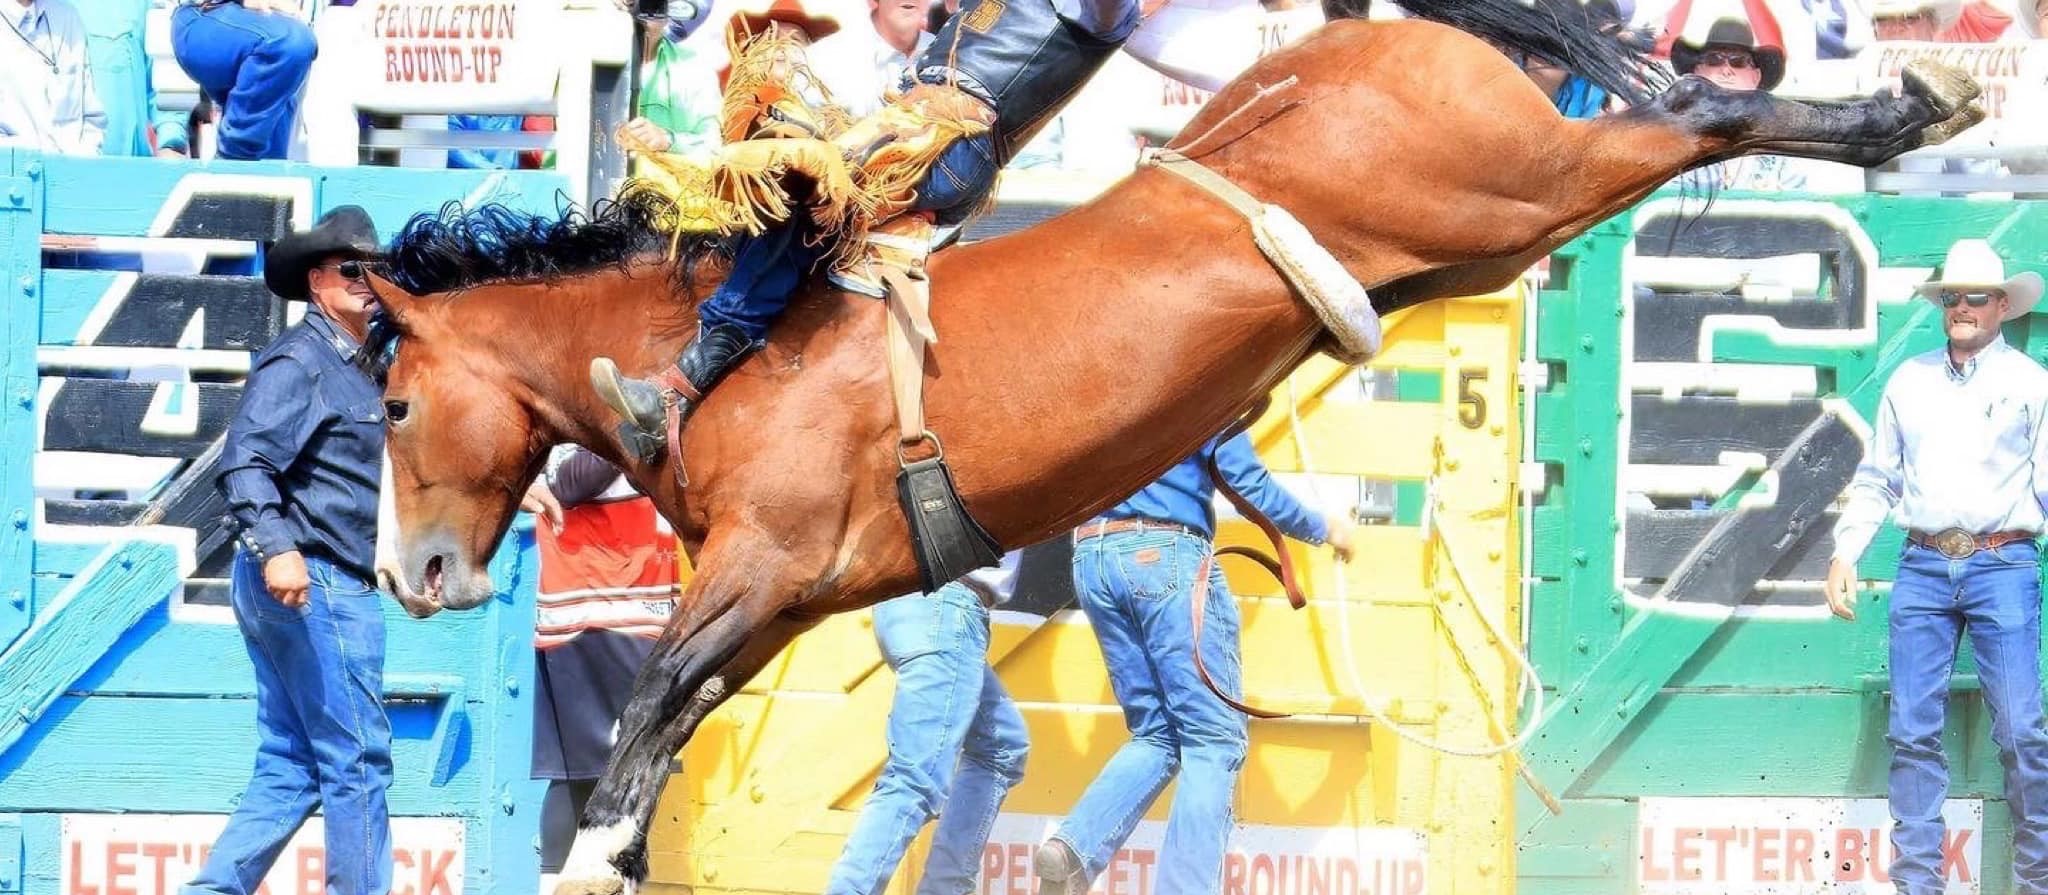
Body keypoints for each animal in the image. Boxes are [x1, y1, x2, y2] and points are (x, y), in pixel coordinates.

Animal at [360, 5, 1974, 884]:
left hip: (1518, 179)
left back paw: (1903, 106)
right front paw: (612, 848)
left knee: (1693, 105)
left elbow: (645, 709)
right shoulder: (780, 601)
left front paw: (586, 854)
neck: (727, 346)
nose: (410, 575)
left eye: (390, 403)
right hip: (1495, 232)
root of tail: (1378, 37)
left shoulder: (758, 568)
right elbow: (666, 722)